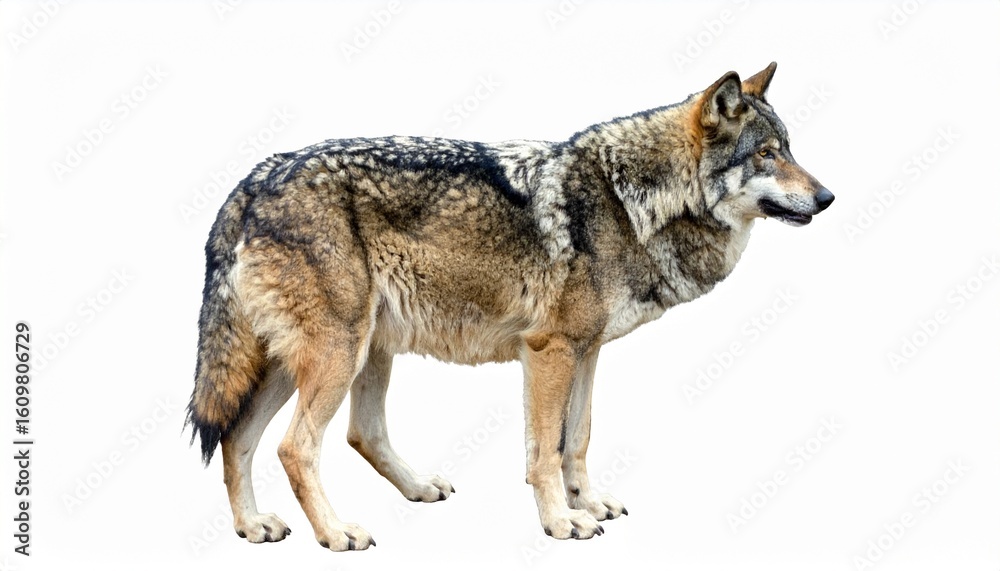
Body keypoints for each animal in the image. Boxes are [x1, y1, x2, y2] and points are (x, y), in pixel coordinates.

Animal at [186, 62, 833, 551]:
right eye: (767, 154)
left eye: (790, 149)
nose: (827, 197)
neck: (630, 201)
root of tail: (255, 177)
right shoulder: (548, 351)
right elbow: (544, 451)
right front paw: (562, 523)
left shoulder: (586, 352)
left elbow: (578, 438)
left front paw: (589, 503)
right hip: (337, 354)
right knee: (295, 447)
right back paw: (336, 532)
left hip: (341, 354)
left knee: (276, 436)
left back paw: (262, 524)